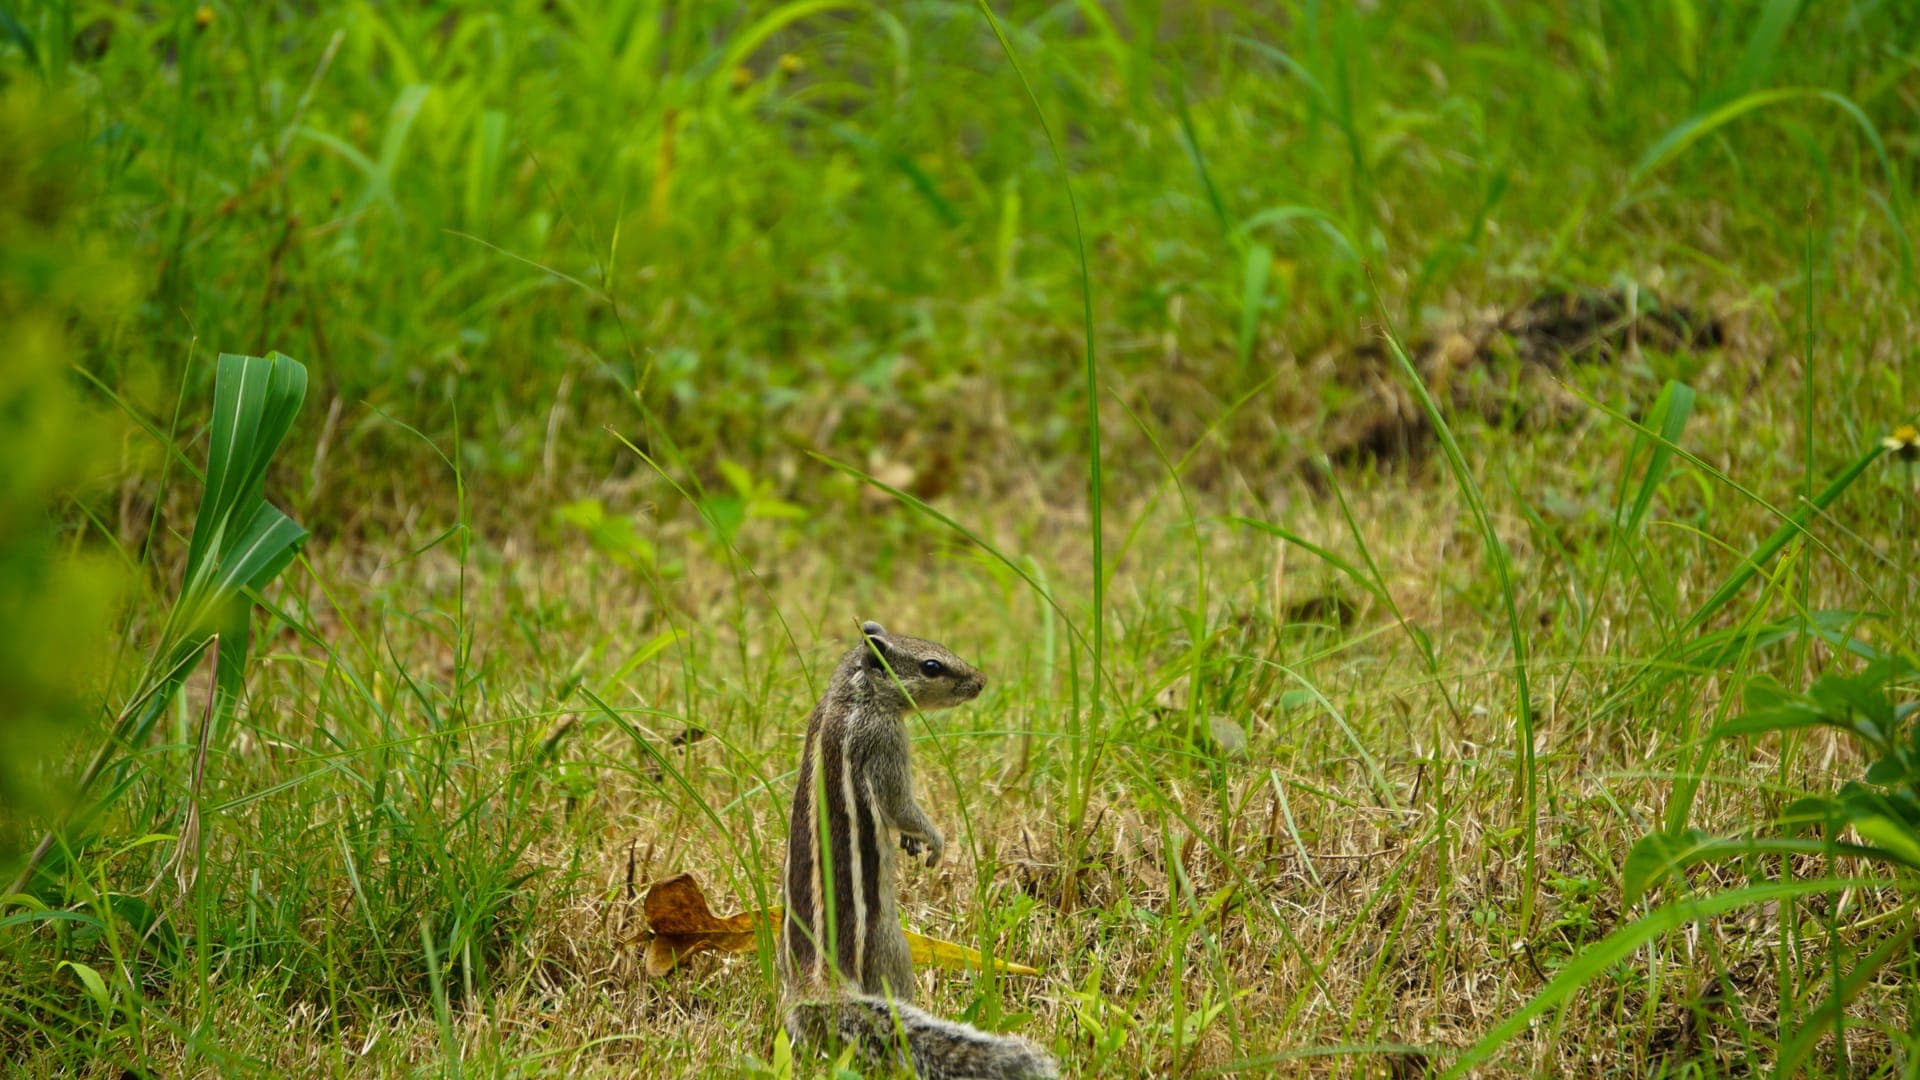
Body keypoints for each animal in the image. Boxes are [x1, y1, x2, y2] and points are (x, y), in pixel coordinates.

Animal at [779, 621, 1058, 1079]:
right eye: (931, 666)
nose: (981, 681)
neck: (853, 695)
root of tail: (817, 987)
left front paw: (915, 842)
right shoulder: (884, 744)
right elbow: (900, 805)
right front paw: (935, 840)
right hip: (891, 946)